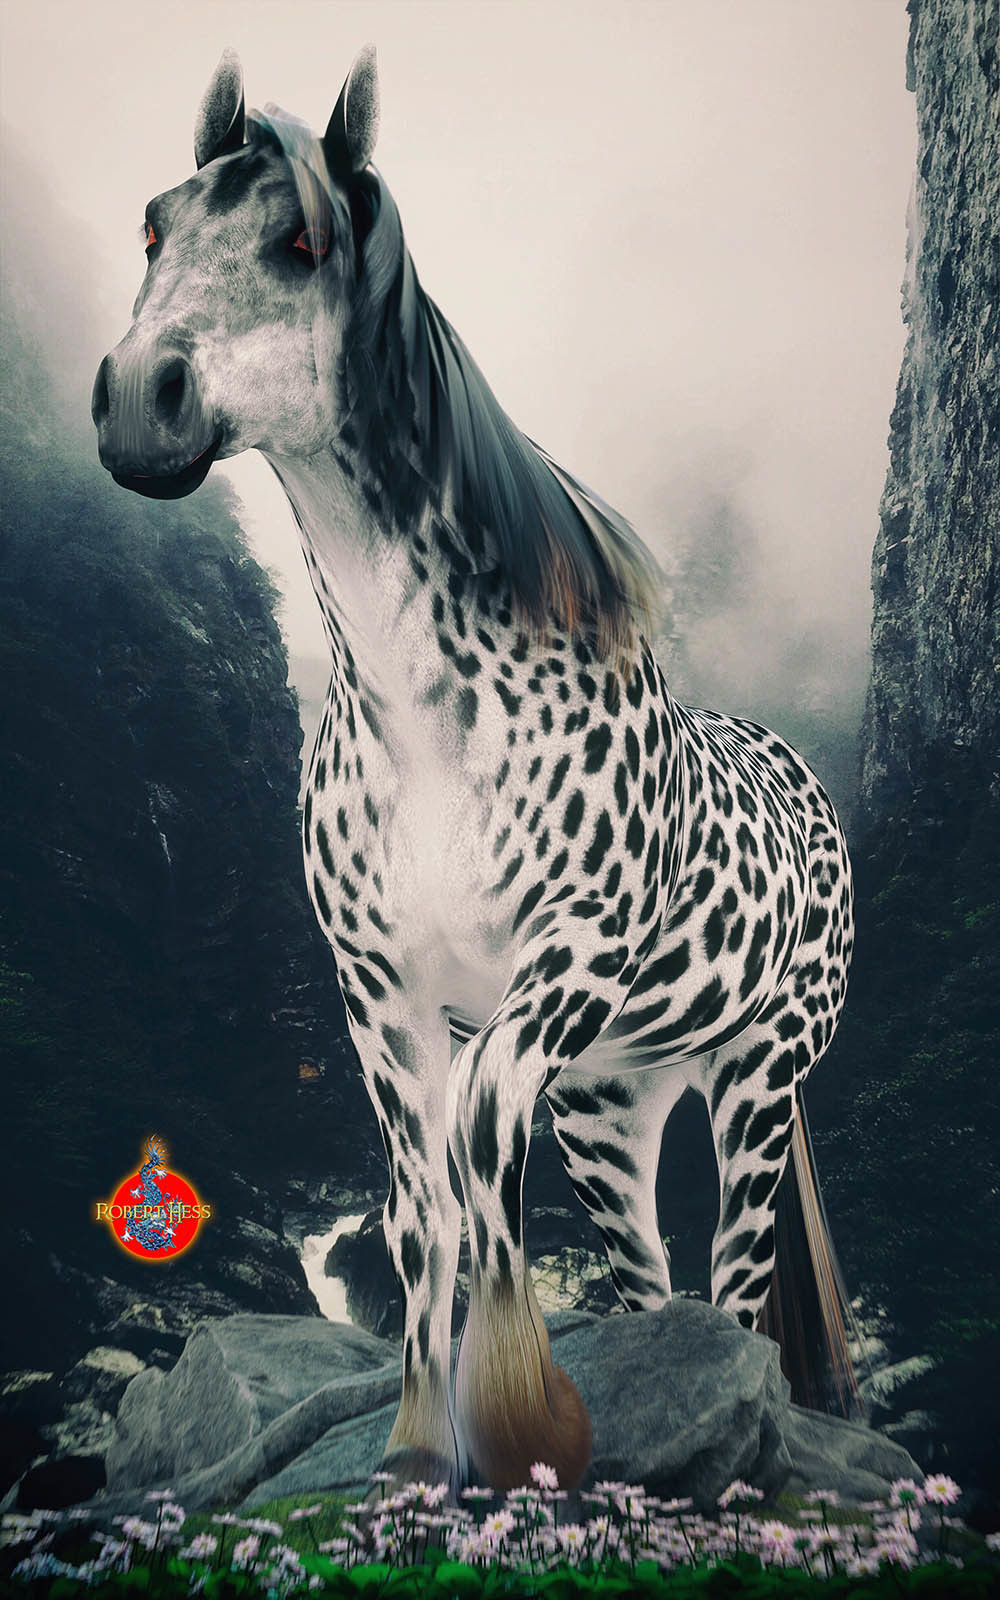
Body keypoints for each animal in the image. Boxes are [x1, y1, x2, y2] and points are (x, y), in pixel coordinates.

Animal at [93, 46, 858, 1494]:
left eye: (301, 243)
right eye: (156, 225)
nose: (138, 404)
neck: (429, 717)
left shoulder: (569, 950)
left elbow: (478, 1143)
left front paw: (514, 1421)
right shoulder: (380, 994)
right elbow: (419, 1212)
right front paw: (414, 1447)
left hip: (754, 1072)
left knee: (735, 1272)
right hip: (616, 1105)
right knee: (651, 1273)